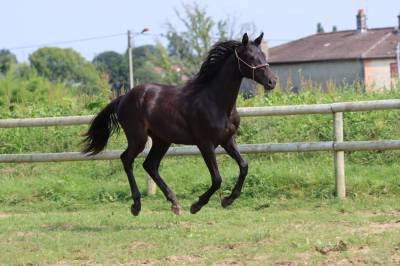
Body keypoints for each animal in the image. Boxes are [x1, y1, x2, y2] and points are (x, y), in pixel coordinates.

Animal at [83, 33, 276, 216]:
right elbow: (217, 179)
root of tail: (123, 98)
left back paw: (174, 203)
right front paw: (196, 205)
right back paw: (136, 205)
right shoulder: (205, 144)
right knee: (127, 159)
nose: (272, 81)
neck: (216, 102)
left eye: (263, 55)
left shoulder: (228, 140)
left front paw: (228, 200)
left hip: (162, 140)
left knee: (149, 165)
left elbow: (244, 166)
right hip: (138, 138)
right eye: (250, 57)